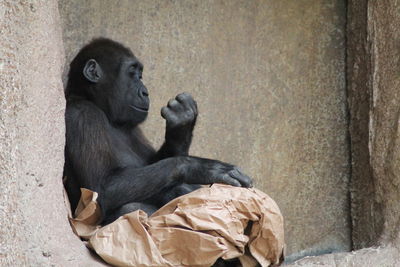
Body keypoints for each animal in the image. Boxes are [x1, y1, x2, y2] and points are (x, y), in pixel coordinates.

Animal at [63, 37, 252, 226]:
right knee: (130, 208)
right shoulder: (83, 115)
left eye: (140, 75)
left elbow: (157, 162)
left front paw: (182, 123)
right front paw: (201, 167)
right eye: (132, 73)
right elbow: (101, 188)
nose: (145, 92)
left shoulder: (134, 127)